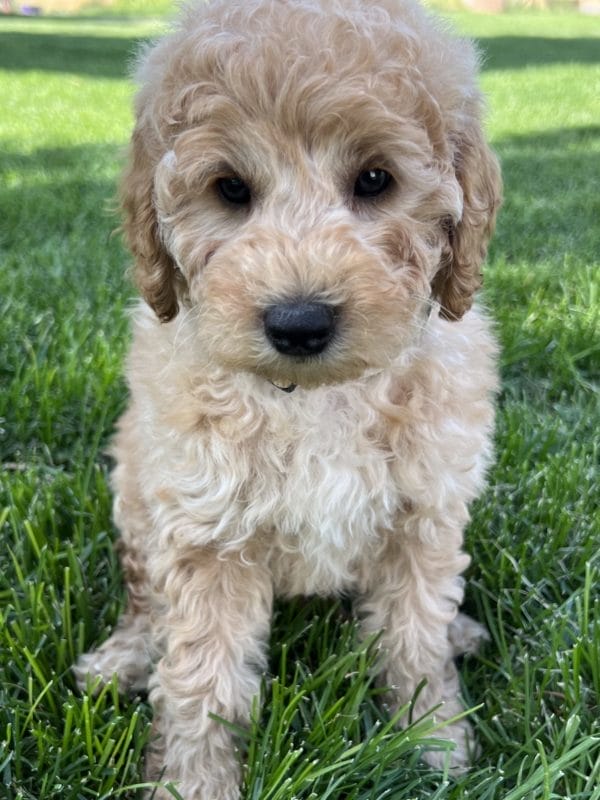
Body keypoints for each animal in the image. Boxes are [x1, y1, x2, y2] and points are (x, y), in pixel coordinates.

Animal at [75, 0, 502, 796]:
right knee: (144, 598)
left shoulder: (424, 512)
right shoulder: (207, 532)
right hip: (136, 490)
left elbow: (414, 637)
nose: (298, 322)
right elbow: (202, 679)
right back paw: (122, 659)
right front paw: (193, 782)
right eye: (230, 189)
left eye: (375, 178)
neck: (315, 396)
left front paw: (433, 743)